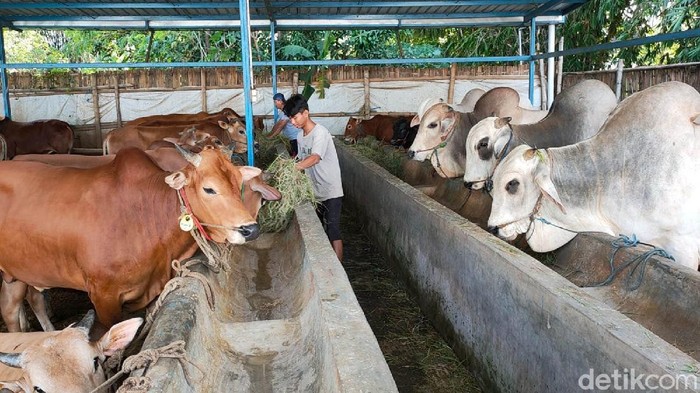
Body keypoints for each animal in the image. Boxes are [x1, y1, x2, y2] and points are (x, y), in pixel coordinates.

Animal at [0, 145, 274, 326]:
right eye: (209, 189)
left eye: (238, 183)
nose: (250, 229)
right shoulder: (103, 297)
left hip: (22, 273)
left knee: (21, 304)